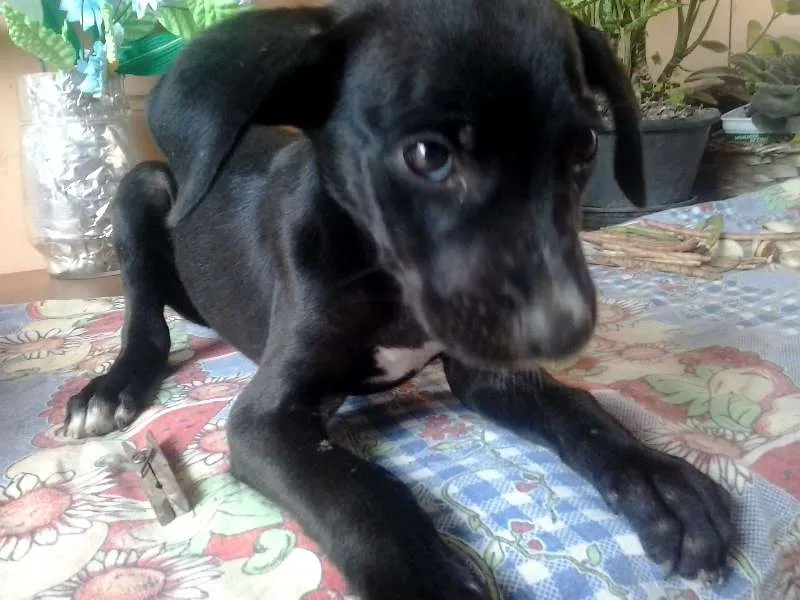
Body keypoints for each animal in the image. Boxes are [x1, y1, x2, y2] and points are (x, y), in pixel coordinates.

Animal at [63, 1, 734, 597]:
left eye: (588, 145)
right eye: (428, 154)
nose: (565, 331)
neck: (389, 282)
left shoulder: (488, 370)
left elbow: (579, 410)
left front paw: (656, 481)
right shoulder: (266, 420)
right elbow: (362, 495)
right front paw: (431, 582)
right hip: (141, 188)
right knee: (145, 320)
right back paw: (111, 389)